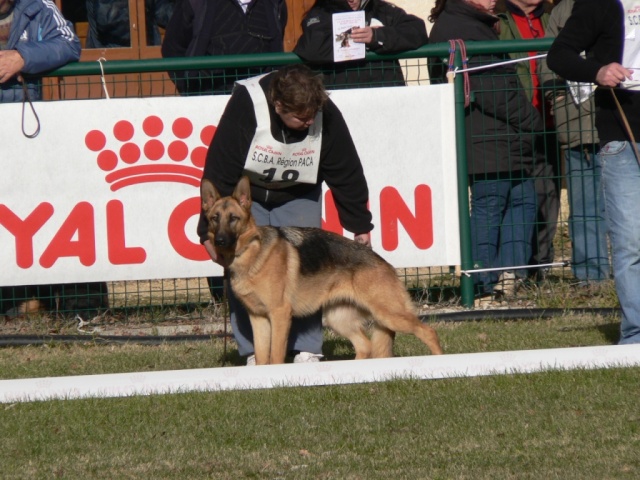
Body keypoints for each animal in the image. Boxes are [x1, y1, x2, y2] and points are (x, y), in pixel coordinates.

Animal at [202, 178, 442, 366]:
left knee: (428, 332)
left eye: (234, 218)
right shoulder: (258, 318)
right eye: (215, 218)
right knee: (365, 346)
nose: (220, 241)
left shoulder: (279, 315)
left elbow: (276, 355)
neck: (251, 252)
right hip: (339, 319)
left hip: (389, 314)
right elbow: (262, 357)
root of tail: (384, 263)